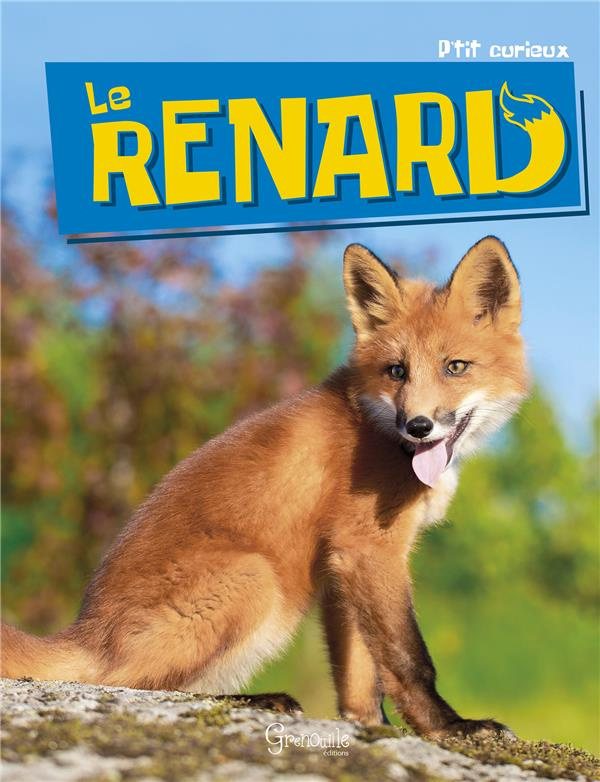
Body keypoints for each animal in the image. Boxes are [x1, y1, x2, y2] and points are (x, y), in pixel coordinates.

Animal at [1, 236, 528, 738]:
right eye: (397, 371)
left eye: (455, 367)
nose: (418, 426)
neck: (376, 429)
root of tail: (83, 631)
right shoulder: (369, 549)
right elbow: (408, 658)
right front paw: (449, 726)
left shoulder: (341, 562)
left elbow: (359, 672)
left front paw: (370, 726)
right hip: (256, 578)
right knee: (128, 685)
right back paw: (255, 700)